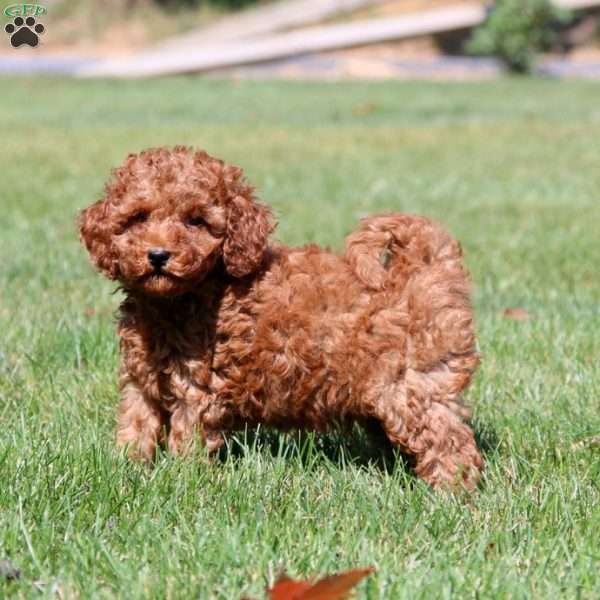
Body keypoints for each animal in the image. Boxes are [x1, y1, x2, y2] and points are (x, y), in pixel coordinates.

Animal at [79, 148, 482, 490]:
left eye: (196, 221)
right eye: (137, 218)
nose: (158, 255)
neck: (177, 300)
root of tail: (425, 267)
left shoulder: (198, 389)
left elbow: (186, 438)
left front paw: (183, 481)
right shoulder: (141, 379)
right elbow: (136, 425)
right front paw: (127, 471)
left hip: (412, 386)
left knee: (449, 440)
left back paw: (452, 494)